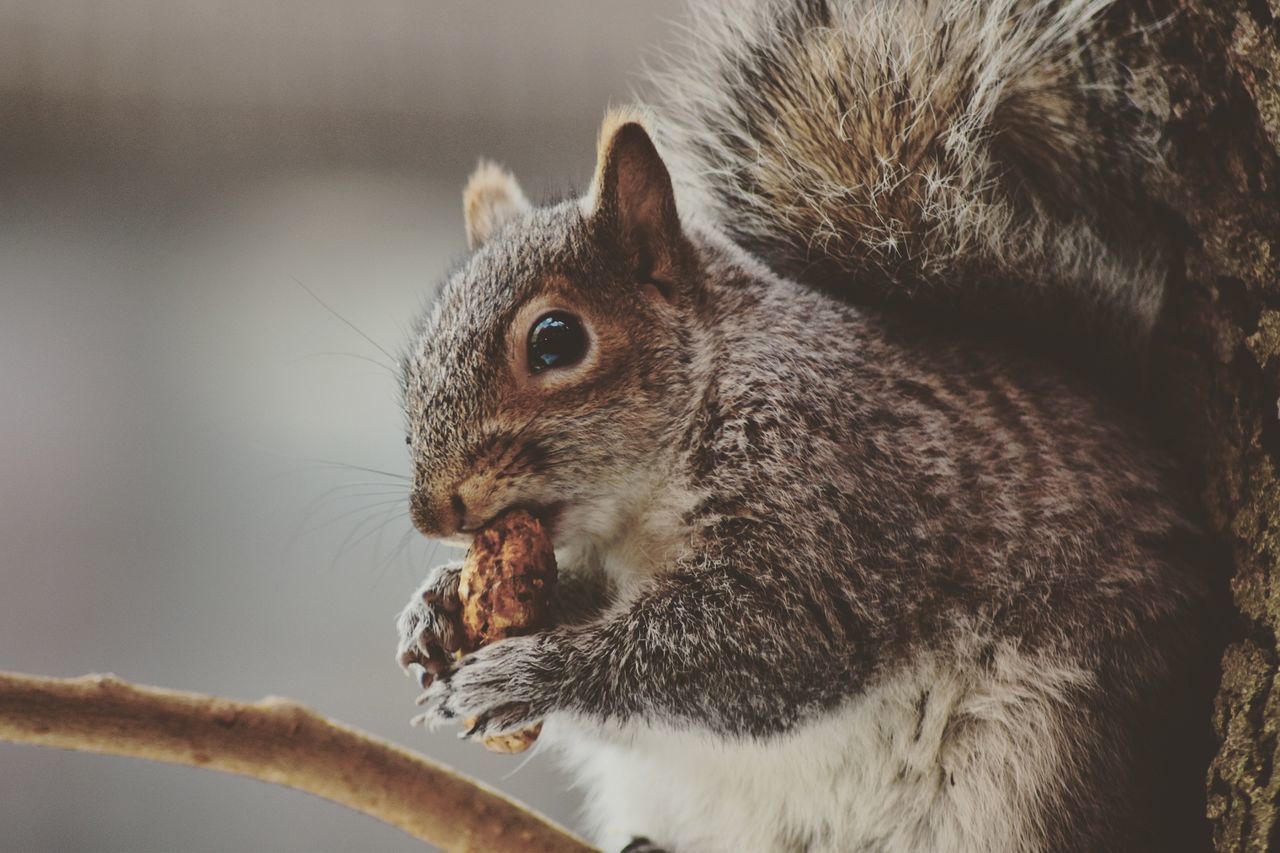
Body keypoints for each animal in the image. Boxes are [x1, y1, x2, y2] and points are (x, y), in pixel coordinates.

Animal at [391, 1, 1218, 850]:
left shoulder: (832, 496)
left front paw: (528, 674)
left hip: (1045, 773)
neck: (647, 501)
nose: (432, 513)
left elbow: (764, 642)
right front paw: (431, 612)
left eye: (556, 340)